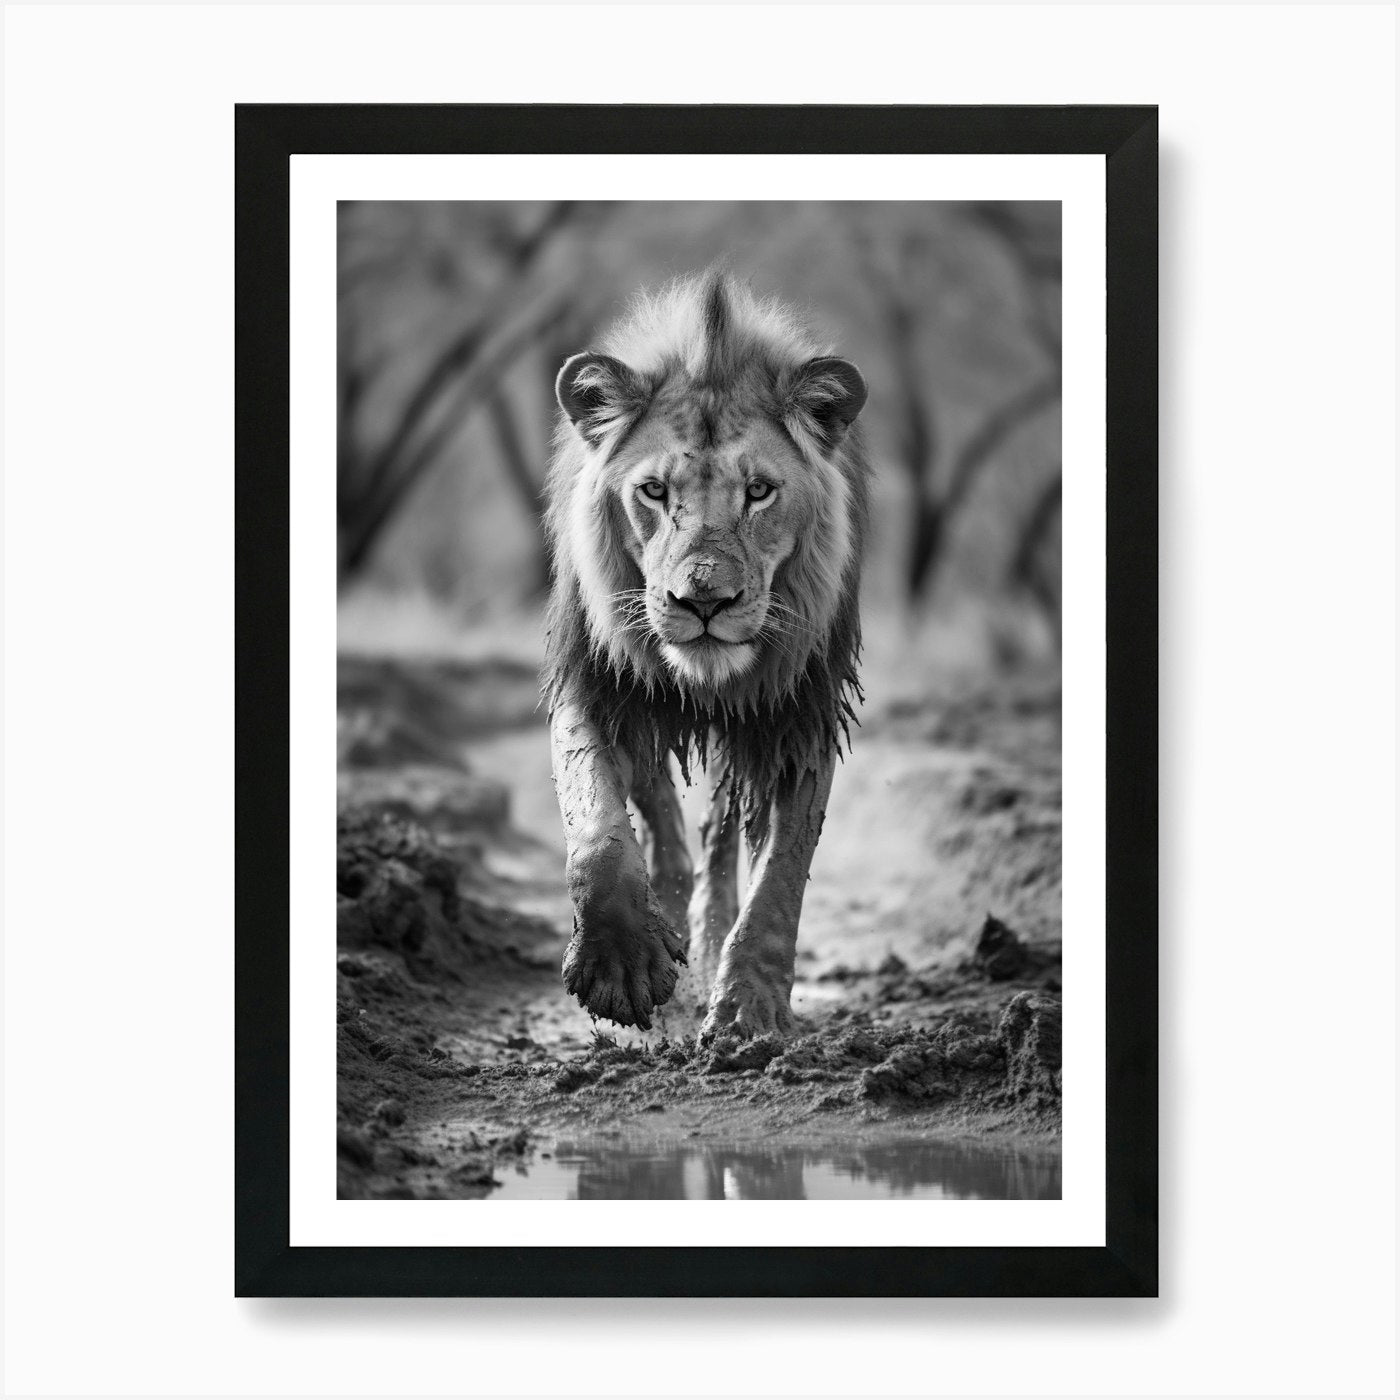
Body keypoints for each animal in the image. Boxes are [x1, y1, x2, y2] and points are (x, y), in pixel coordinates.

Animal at [541, 269, 869, 1039]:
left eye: (760, 491)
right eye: (655, 491)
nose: (704, 601)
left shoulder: (799, 716)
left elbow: (782, 870)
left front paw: (749, 1007)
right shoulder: (594, 686)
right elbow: (598, 830)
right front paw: (622, 969)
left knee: (718, 834)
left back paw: (709, 937)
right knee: (657, 813)